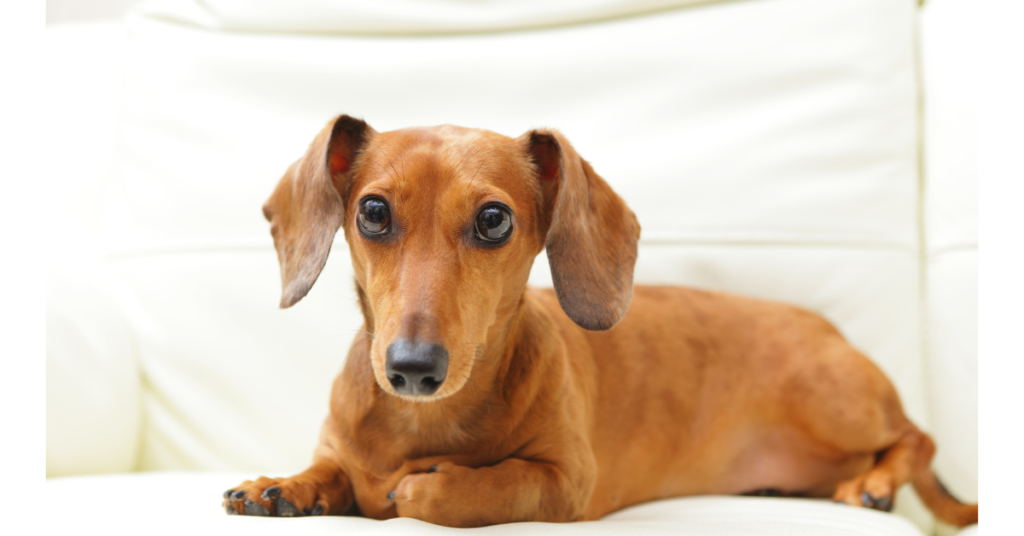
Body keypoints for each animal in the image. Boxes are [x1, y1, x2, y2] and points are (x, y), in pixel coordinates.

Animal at [222, 114, 974, 528]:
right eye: (373, 212)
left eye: (493, 220)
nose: (411, 367)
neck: (425, 422)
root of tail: (826, 329)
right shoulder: (342, 449)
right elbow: (331, 470)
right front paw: (283, 487)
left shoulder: (563, 482)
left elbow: (454, 491)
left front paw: (424, 484)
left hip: (835, 401)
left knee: (919, 439)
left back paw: (875, 483)